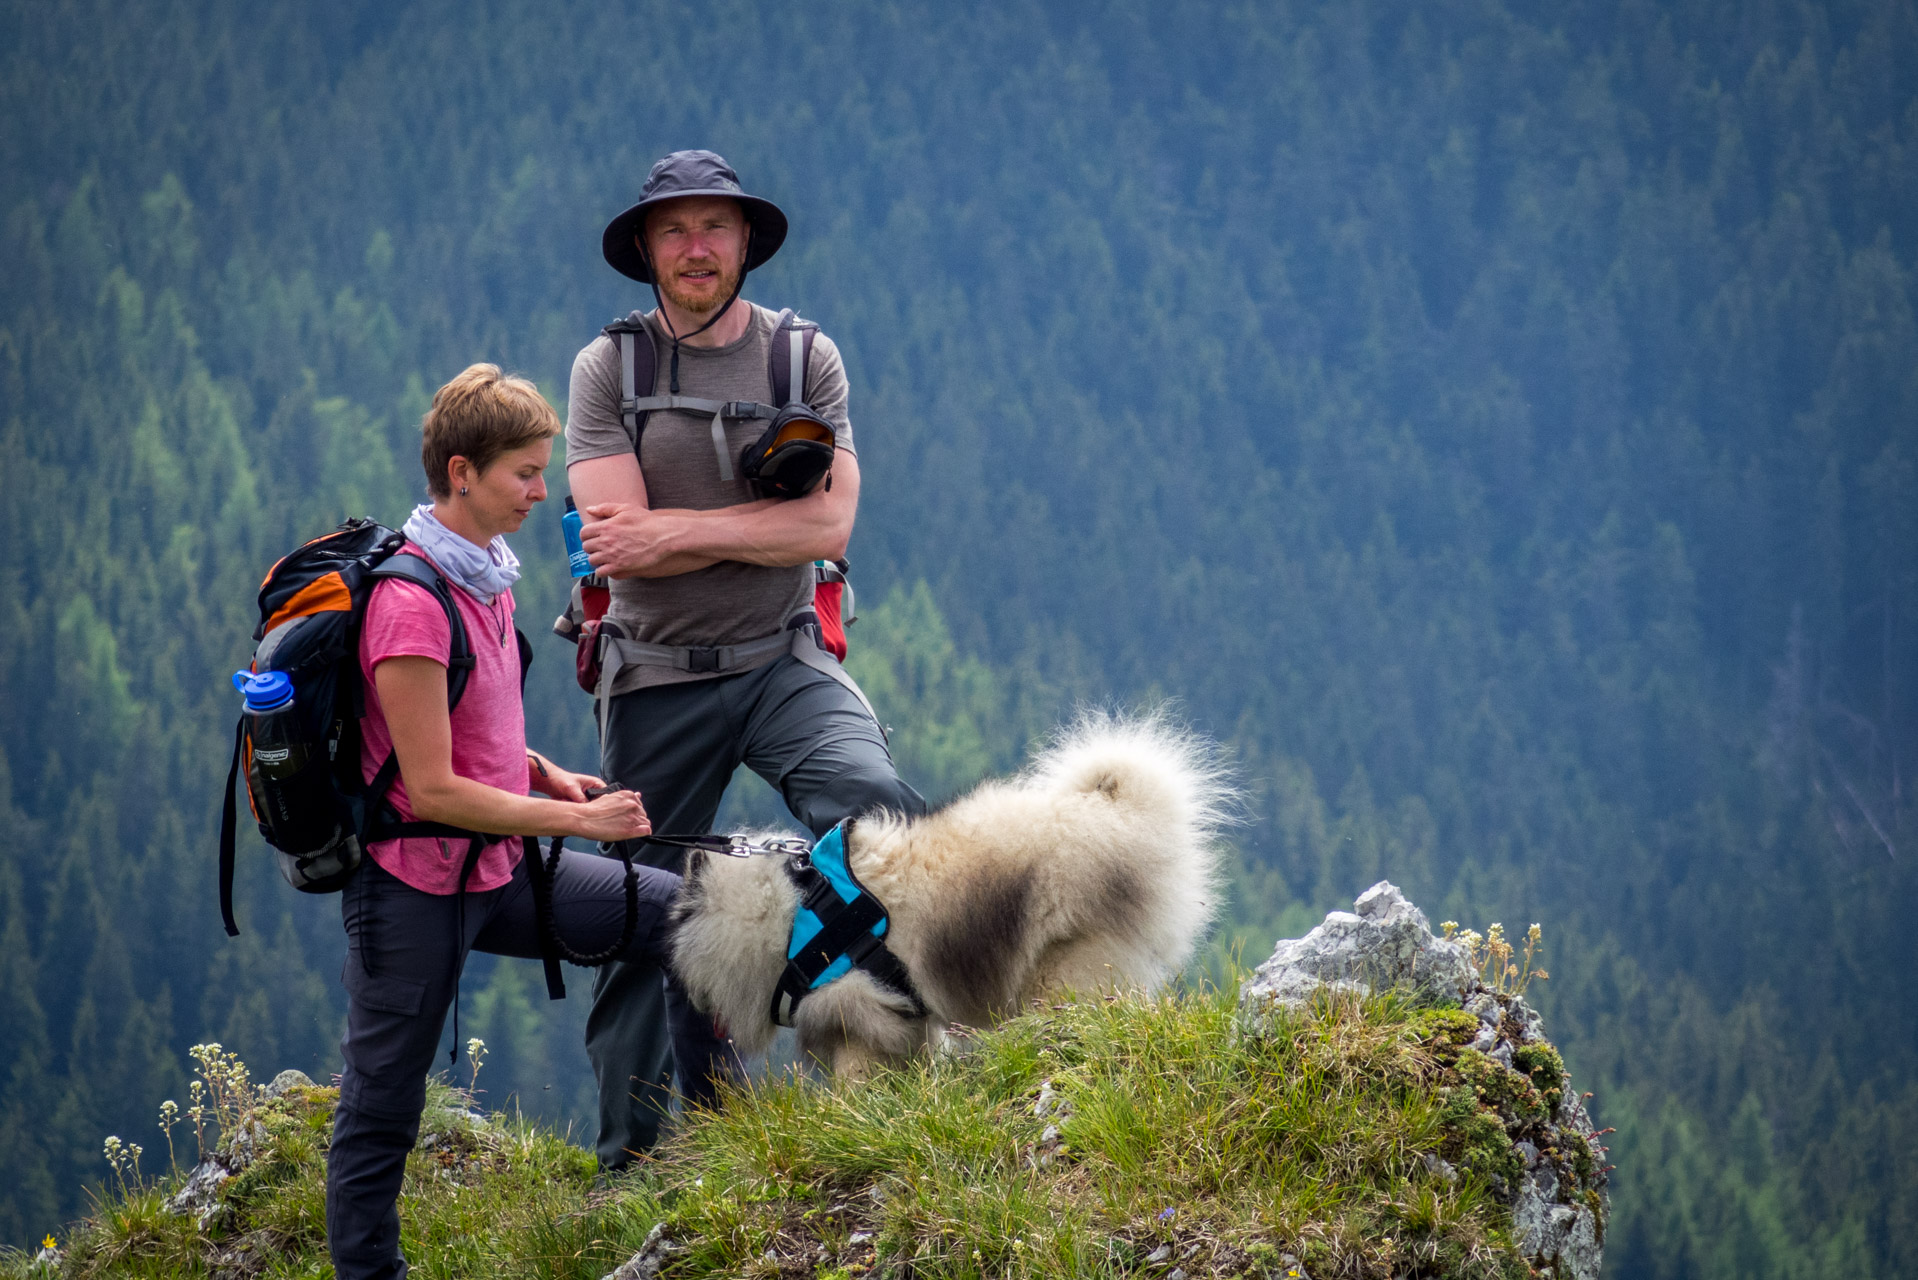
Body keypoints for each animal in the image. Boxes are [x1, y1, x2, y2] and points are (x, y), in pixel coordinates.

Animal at [671, 717, 1227, 1074]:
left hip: (1064, 972)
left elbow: (856, 1073)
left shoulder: (855, 1009)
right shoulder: (905, 1014)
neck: (791, 915)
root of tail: (1120, 815)